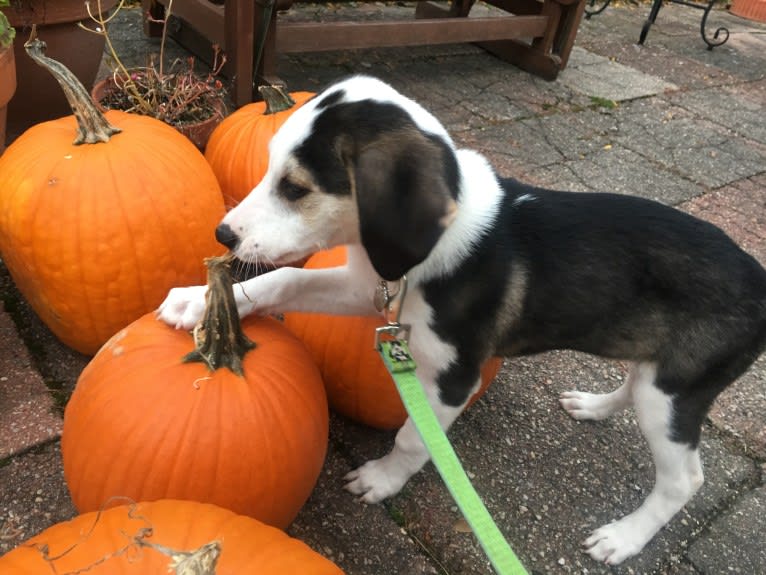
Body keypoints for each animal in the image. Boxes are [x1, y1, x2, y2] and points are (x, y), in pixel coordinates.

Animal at [158, 74, 766, 564]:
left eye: (296, 188)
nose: (223, 235)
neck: (434, 250)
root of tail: (758, 280)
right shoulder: (365, 285)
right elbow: (284, 280)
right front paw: (198, 300)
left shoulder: (454, 378)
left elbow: (413, 438)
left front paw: (382, 479)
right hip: (655, 374)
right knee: (634, 384)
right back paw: (594, 406)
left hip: (676, 389)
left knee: (684, 479)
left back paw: (625, 537)